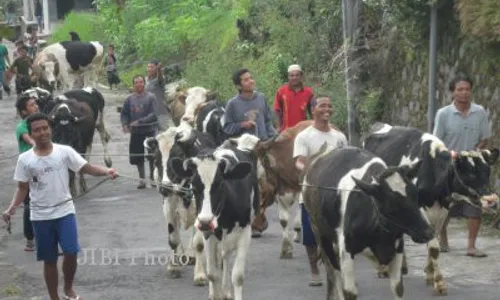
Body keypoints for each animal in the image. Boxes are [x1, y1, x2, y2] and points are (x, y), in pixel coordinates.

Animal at [170, 134, 260, 300]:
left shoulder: (245, 232)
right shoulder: (208, 233)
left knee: (225, 256)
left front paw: (228, 291)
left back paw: (227, 291)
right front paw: (216, 293)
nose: (205, 221)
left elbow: (237, 276)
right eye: (193, 186)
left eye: (220, 184)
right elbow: (212, 273)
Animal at [300, 144, 434, 298]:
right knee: (333, 272)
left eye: (415, 194)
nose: (428, 233)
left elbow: (398, 287)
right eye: (391, 204)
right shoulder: (346, 249)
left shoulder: (397, 248)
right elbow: (349, 291)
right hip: (318, 231)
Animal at [364, 122, 500, 296]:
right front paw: (440, 283)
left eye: (488, 172)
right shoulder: (419, 210)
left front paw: (429, 274)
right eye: (469, 174)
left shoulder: (442, 212)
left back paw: (403, 266)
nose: (492, 201)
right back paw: (384, 269)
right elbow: (434, 247)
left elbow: (433, 242)